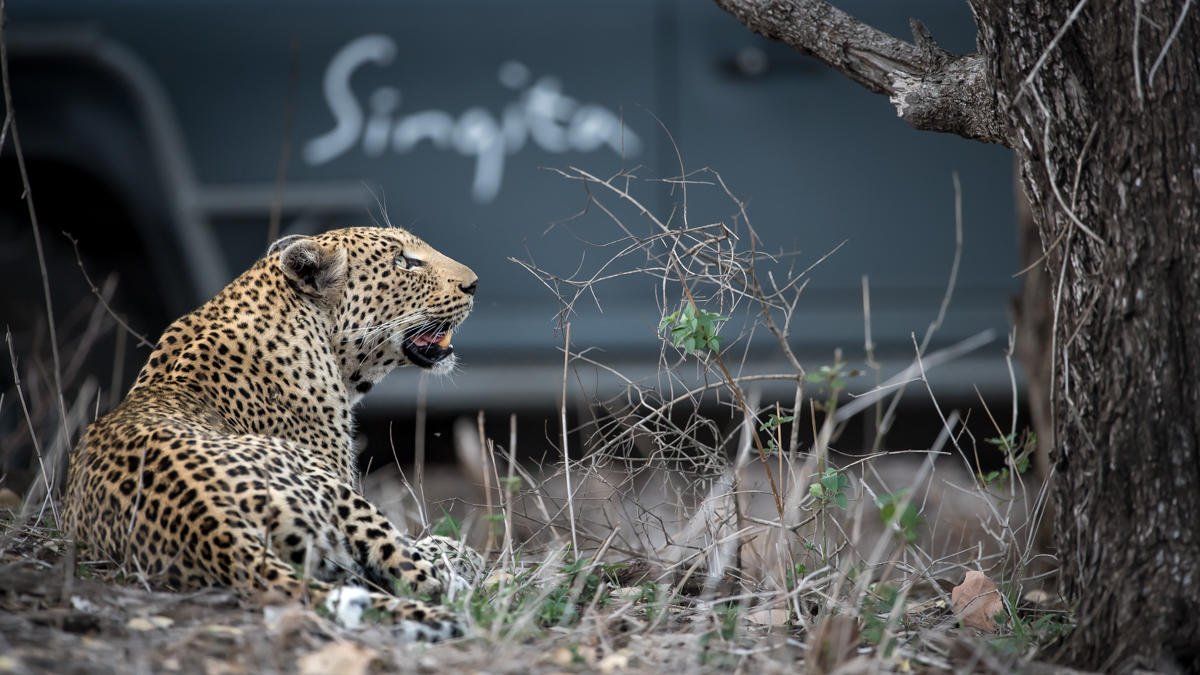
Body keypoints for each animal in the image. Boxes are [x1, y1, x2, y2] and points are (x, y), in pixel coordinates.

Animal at [60, 224, 482, 634]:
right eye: (402, 262)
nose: (475, 283)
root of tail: (214, 526)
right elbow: (431, 547)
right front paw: (464, 552)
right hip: (337, 494)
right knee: (423, 576)